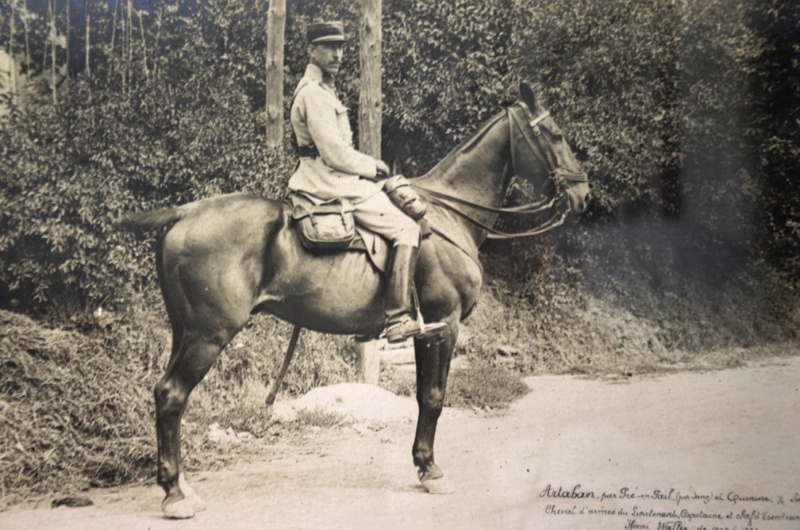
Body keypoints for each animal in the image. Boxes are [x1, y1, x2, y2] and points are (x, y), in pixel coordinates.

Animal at [122, 82, 592, 516]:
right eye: (555, 135)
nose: (583, 195)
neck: (445, 215)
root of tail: (183, 212)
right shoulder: (445, 324)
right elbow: (434, 397)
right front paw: (432, 471)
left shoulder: (426, 331)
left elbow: (423, 395)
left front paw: (422, 465)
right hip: (208, 335)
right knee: (171, 395)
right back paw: (175, 495)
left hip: (185, 332)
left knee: (167, 397)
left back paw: (182, 486)